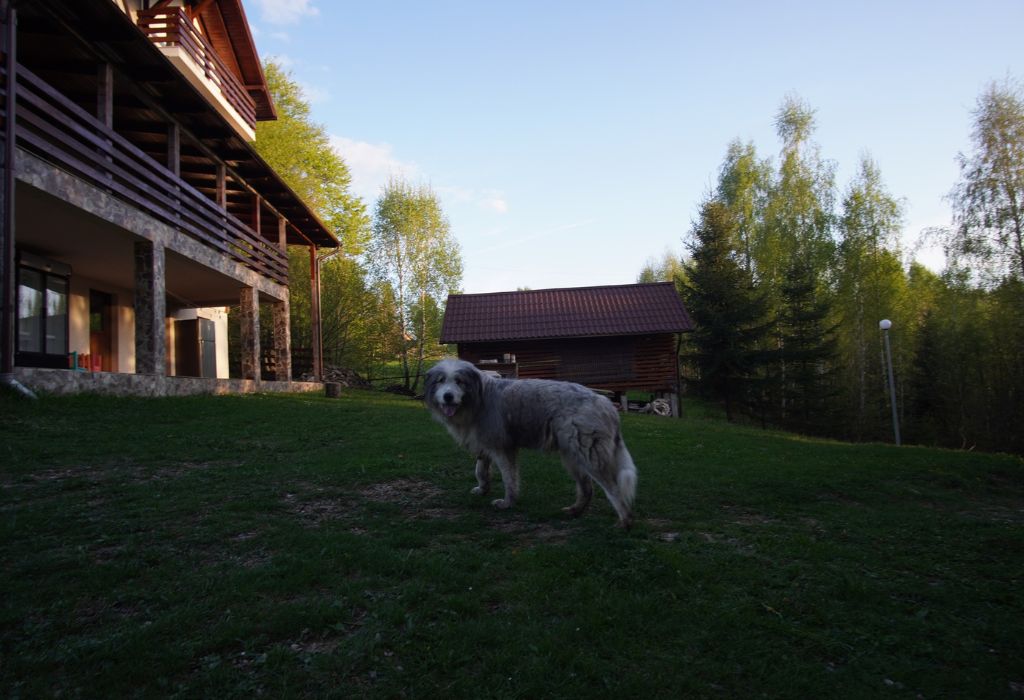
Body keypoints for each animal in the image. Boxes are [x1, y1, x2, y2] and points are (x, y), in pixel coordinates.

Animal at [423, 358, 637, 528]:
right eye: (440, 381)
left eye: (459, 381)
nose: (448, 396)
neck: (478, 398)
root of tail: (606, 403)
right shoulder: (485, 444)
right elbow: (481, 470)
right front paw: (483, 489)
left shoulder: (503, 448)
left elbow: (509, 478)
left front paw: (507, 503)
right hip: (572, 456)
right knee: (587, 488)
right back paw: (575, 510)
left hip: (589, 456)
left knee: (614, 489)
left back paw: (625, 522)